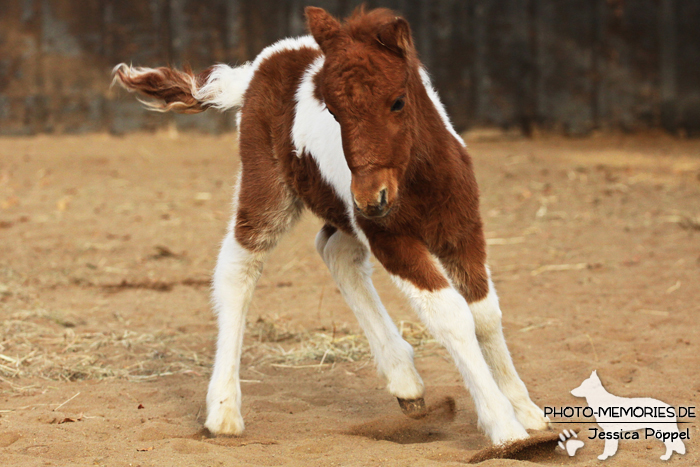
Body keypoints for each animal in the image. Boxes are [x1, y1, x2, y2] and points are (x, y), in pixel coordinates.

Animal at [115, 7, 548, 446]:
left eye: (398, 102)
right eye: (334, 112)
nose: (373, 198)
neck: (417, 181)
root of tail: (259, 65)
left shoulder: (463, 230)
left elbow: (485, 314)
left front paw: (528, 413)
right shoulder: (392, 239)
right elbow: (452, 316)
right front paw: (503, 426)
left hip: (343, 212)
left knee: (334, 251)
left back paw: (405, 380)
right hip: (271, 189)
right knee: (239, 269)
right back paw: (223, 411)